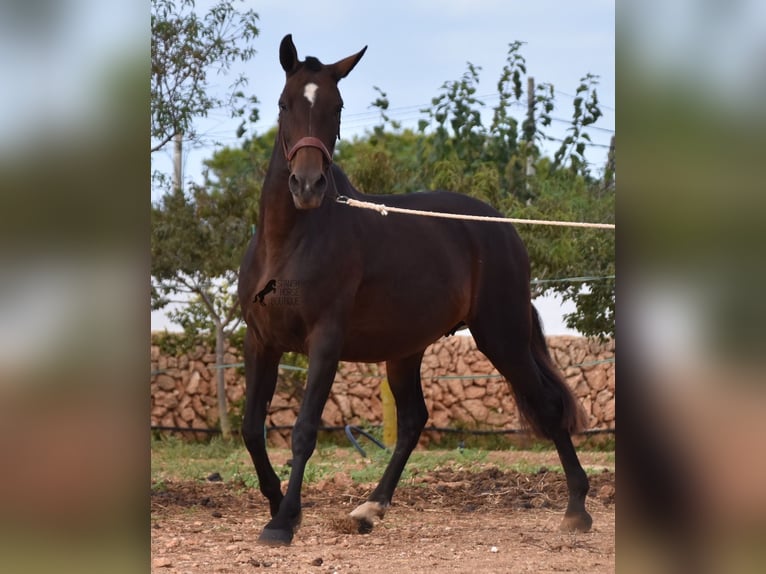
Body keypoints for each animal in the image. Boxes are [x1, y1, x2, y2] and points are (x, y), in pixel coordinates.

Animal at [240, 36, 592, 548]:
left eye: (336, 106)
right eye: (285, 104)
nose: (307, 185)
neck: (290, 241)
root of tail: (501, 227)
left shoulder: (325, 341)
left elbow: (303, 430)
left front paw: (283, 521)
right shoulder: (261, 341)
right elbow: (251, 427)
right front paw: (277, 504)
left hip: (500, 336)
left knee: (547, 406)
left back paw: (577, 509)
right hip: (406, 350)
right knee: (413, 420)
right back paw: (369, 509)